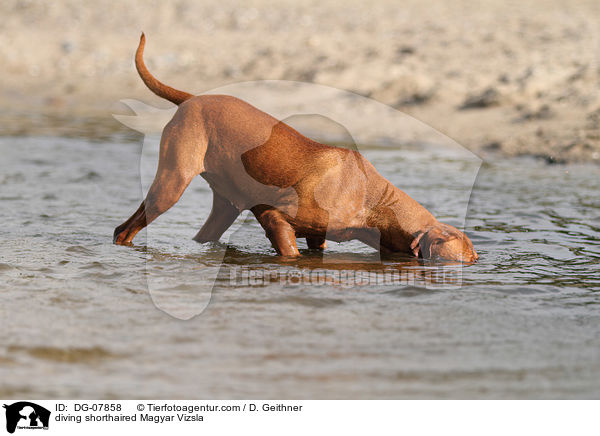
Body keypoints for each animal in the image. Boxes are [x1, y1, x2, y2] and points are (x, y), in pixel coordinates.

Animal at [113, 35, 478, 262]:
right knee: (123, 230)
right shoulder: (276, 217)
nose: (479, 263)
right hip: (171, 184)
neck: (374, 201)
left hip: (224, 206)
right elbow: (289, 251)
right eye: (466, 259)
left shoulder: (318, 237)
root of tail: (192, 98)